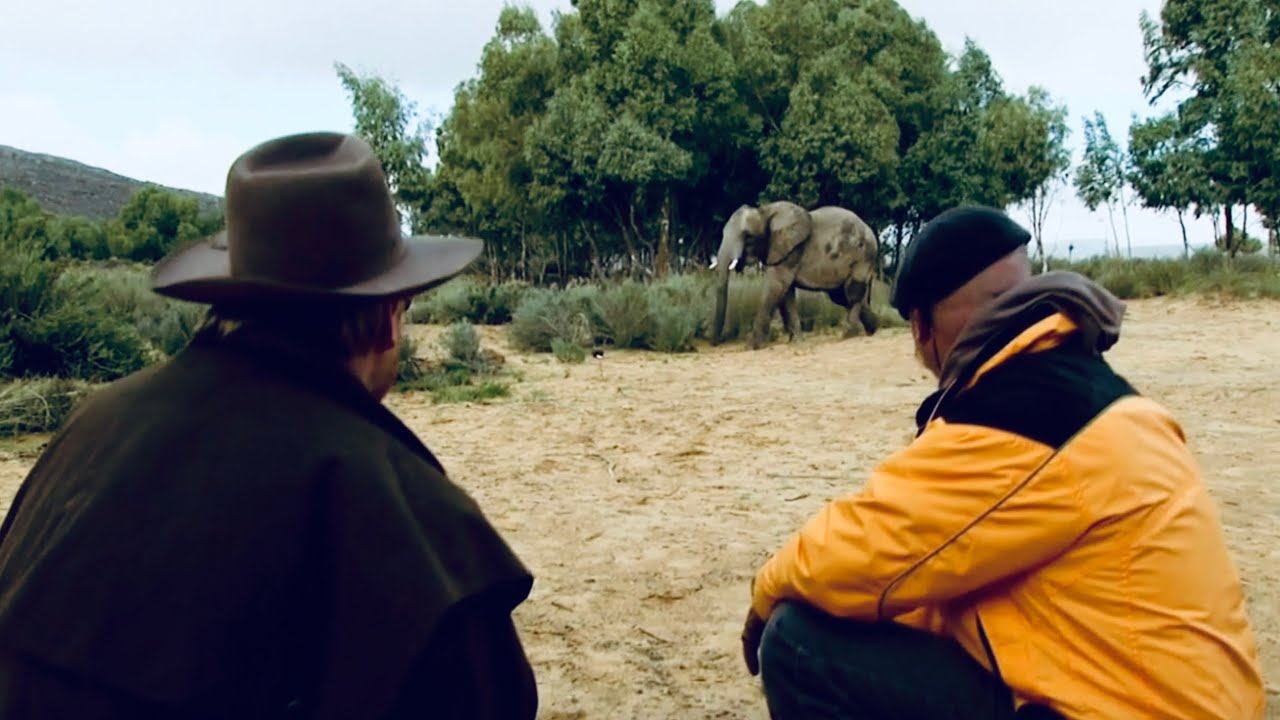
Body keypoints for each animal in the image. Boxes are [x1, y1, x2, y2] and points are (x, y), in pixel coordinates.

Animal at [709, 200, 880, 350]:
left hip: (863, 256)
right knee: (841, 296)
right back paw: (872, 328)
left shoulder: (791, 251)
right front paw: (796, 341)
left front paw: (752, 347)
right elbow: (786, 295)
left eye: (748, 236)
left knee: (852, 292)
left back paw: (849, 336)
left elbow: (776, 288)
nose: (717, 343)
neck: (764, 212)